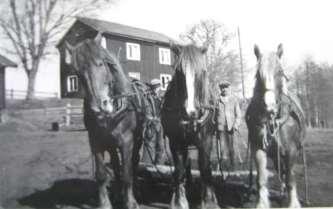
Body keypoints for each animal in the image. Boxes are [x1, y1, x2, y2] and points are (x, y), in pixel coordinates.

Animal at [65, 34, 161, 209]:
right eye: (78, 72)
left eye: (101, 63)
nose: (99, 105)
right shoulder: (95, 141)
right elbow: (102, 174)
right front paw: (105, 203)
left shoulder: (127, 141)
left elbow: (127, 173)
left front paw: (130, 202)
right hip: (110, 143)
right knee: (116, 166)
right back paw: (117, 194)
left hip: (136, 139)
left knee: (133, 163)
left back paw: (134, 191)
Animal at [160, 44, 218, 209]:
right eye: (179, 72)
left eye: (202, 71)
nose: (190, 112)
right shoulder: (176, 141)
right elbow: (179, 168)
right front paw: (179, 200)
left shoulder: (206, 140)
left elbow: (205, 167)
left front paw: (209, 200)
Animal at [244, 43, 306, 207]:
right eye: (258, 75)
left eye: (279, 72)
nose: (270, 106)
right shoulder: (259, 148)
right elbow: (261, 178)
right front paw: (261, 203)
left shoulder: (291, 151)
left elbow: (290, 178)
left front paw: (293, 204)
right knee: (280, 170)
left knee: (286, 172)